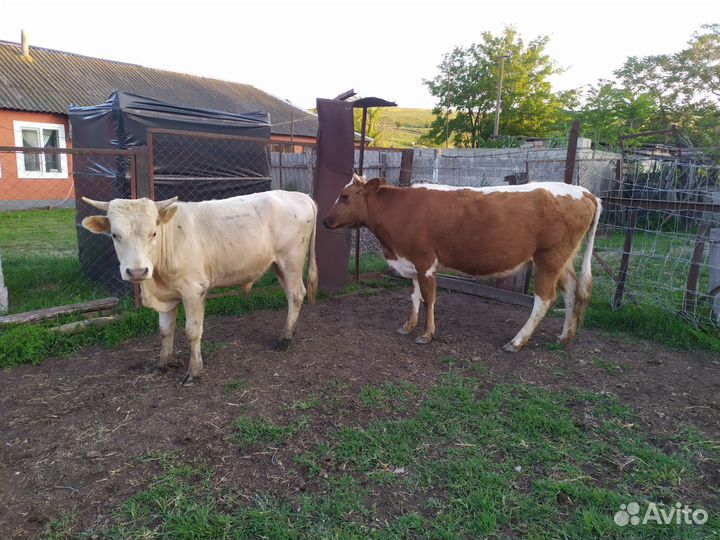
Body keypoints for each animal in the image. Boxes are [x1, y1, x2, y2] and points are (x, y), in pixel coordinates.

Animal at [82, 192, 318, 385]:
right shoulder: (167, 296)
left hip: (291, 261)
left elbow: (192, 332)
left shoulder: (193, 291)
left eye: (153, 233)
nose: (138, 271)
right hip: (279, 265)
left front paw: (194, 372)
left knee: (296, 295)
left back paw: (284, 338)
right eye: (115, 235)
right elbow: (165, 331)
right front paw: (163, 363)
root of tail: (300, 195)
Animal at [323, 174, 601, 351]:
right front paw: (408, 325)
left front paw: (427, 334)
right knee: (571, 291)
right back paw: (564, 336)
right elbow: (414, 296)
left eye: (344, 196)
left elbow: (429, 298)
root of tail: (585, 192)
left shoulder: (425, 261)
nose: (325, 221)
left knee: (545, 299)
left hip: (548, 257)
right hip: (561, 260)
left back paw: (517, 342)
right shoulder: (410, 261)